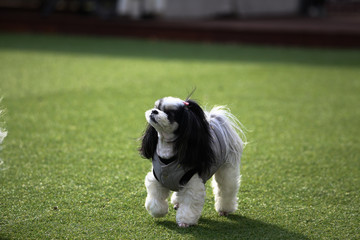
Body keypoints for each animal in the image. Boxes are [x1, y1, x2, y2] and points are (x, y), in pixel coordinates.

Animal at [139, 96, 246, 227]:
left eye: (170, 113)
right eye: (157, 107)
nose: (154, 111)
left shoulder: (192, 183)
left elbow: (189, 205)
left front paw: (185, 221)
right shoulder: (156, 179)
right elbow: (155, 200)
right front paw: (158, 211)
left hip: (227, 170)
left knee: (226, 189)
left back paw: (224, 209)